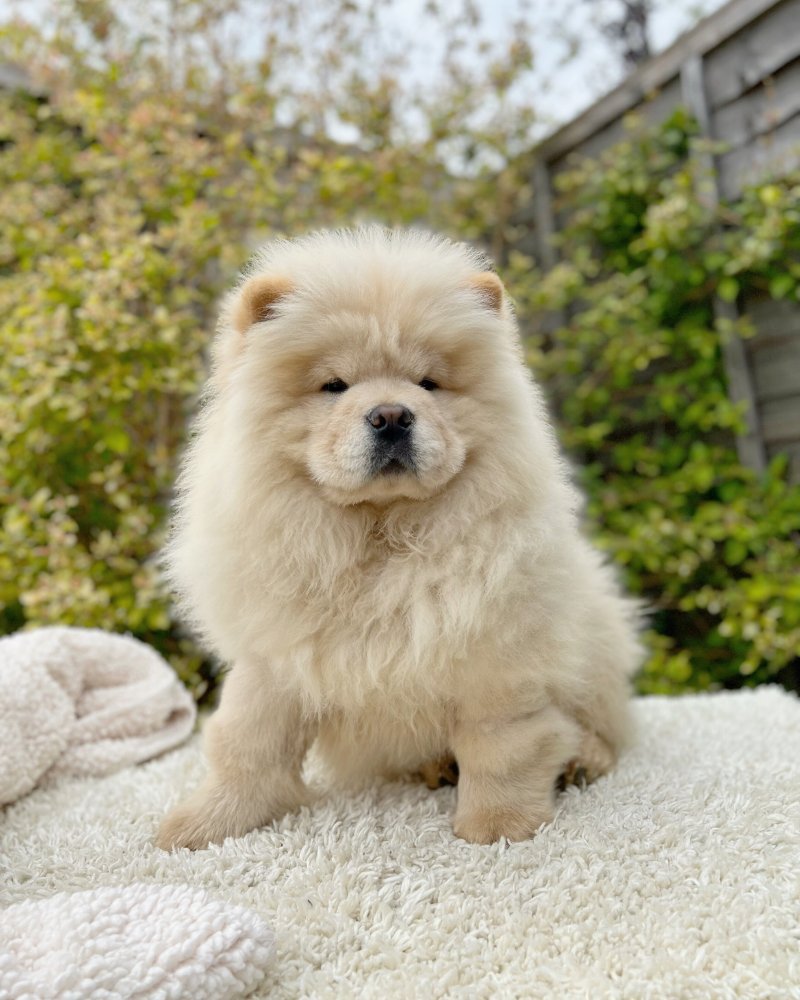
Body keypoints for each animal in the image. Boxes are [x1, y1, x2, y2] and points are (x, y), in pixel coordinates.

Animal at [158, 229, 644, 852]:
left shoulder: (497, 662)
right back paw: (435, 767)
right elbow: (246, 747)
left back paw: (581, 761)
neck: (380, 535)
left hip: (597, 644)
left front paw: (498, 828)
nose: (391, 415)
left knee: (602, 728)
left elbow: (502, 748)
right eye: (334, 386)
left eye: (428, 383)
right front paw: (202, 827)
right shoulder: (275, 660)